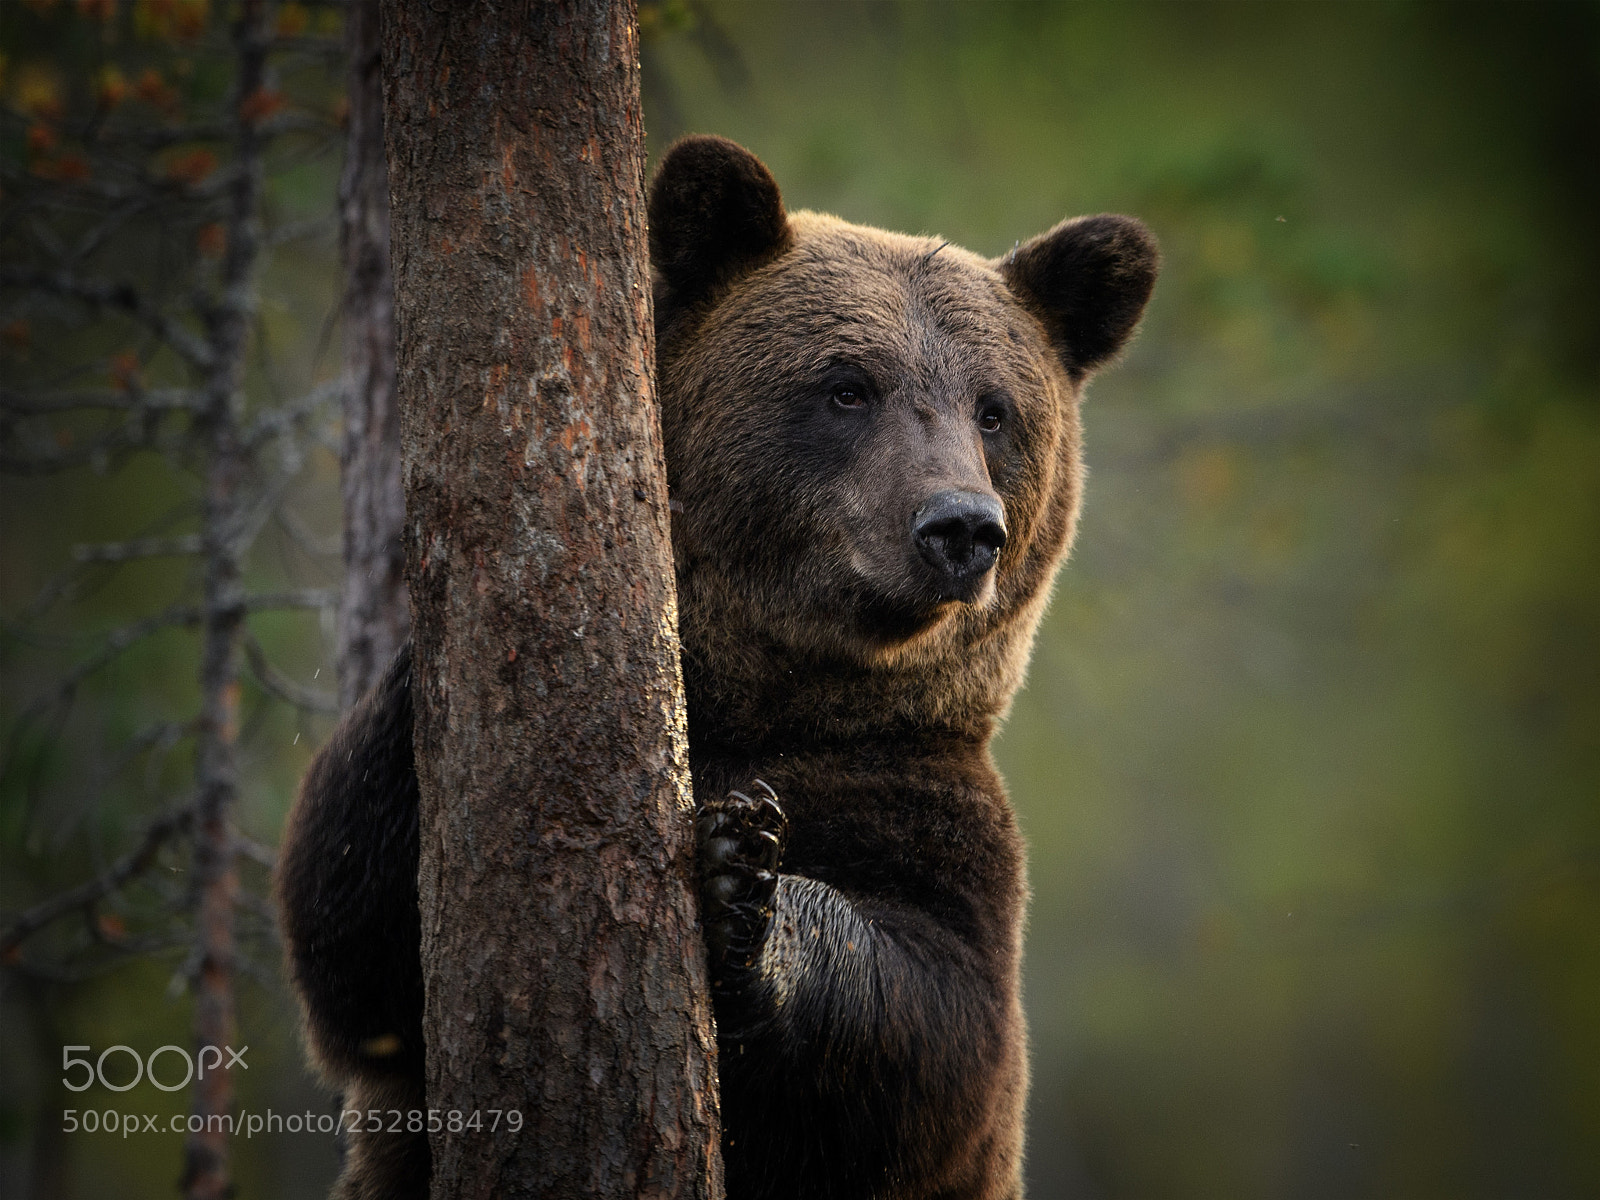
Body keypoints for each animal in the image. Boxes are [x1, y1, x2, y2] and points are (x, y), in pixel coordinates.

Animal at [276, 134, 1158, 1200]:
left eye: (995, 411)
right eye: (847, 386)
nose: (959, 527)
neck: (769, 699)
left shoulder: (928, 809)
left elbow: (941, 1037)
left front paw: (745, 888)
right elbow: (352, 946)